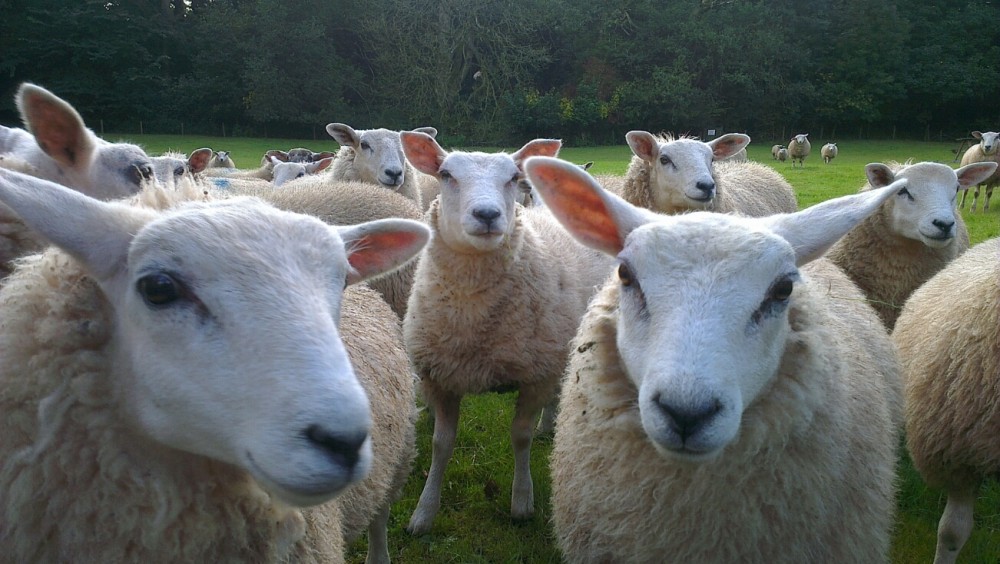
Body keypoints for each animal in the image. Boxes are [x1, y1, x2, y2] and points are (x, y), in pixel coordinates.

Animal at [399, 133, 615, 535]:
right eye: (445, 174)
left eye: (514, 177)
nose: (487, 215)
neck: (472, 314)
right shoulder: (440, 377)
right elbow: (441, 444)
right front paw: (424, 512)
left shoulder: (535, 373)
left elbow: (520, 436)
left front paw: (522, 500)